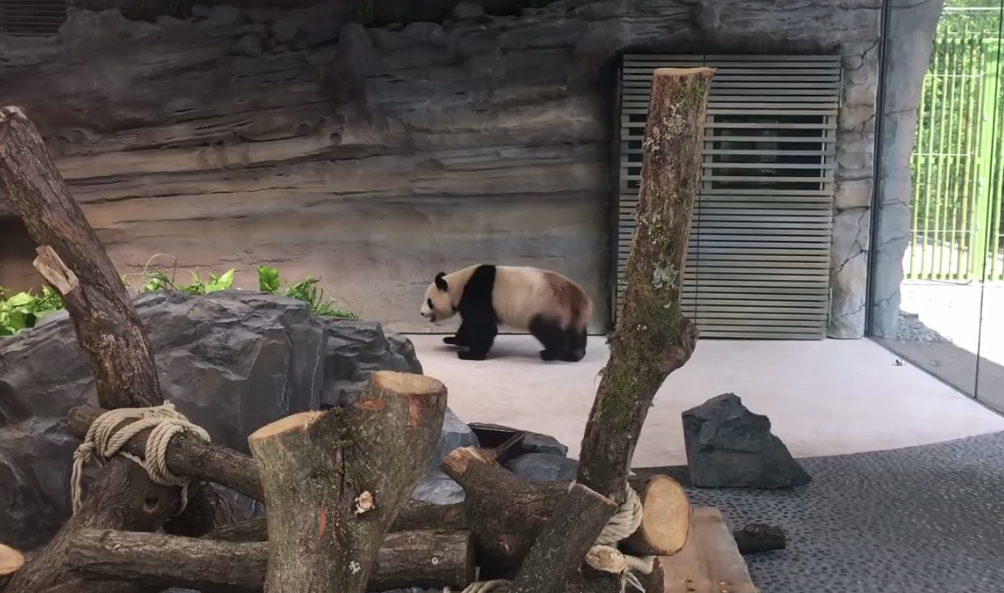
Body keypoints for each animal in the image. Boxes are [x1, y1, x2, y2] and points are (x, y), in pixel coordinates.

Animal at [419, 264, 592, 362]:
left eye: (429, 301)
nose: (421, 313)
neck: (460, 285)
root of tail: (579, 298)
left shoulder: (479, 292)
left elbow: (482, 325)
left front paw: (470, 354)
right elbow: (469, 324)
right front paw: (452, 339)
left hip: (545, 306)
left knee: (547, 330)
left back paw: (551, 353)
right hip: (571, 313)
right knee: (575, 332)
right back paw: (574, 355)